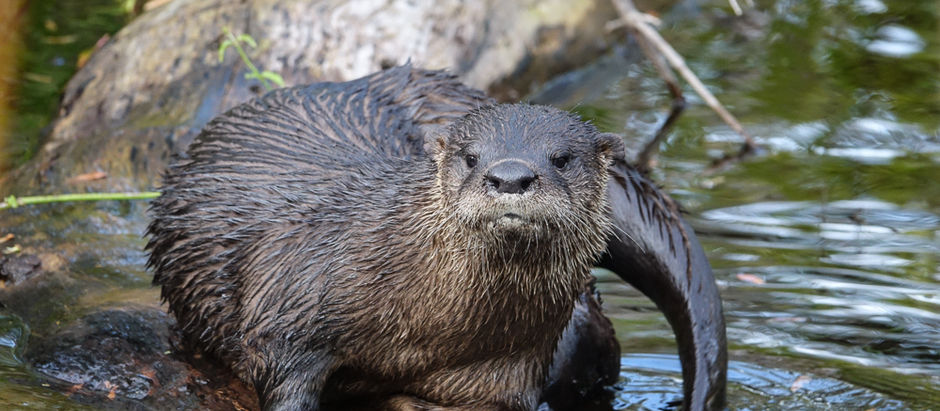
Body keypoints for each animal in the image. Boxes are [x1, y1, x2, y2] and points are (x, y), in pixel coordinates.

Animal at [146, 66, 726, 410]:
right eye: (471, 157)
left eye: (561, 158)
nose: (510, 175)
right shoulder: (288, 309)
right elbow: (285, 379)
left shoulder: (505, 370)